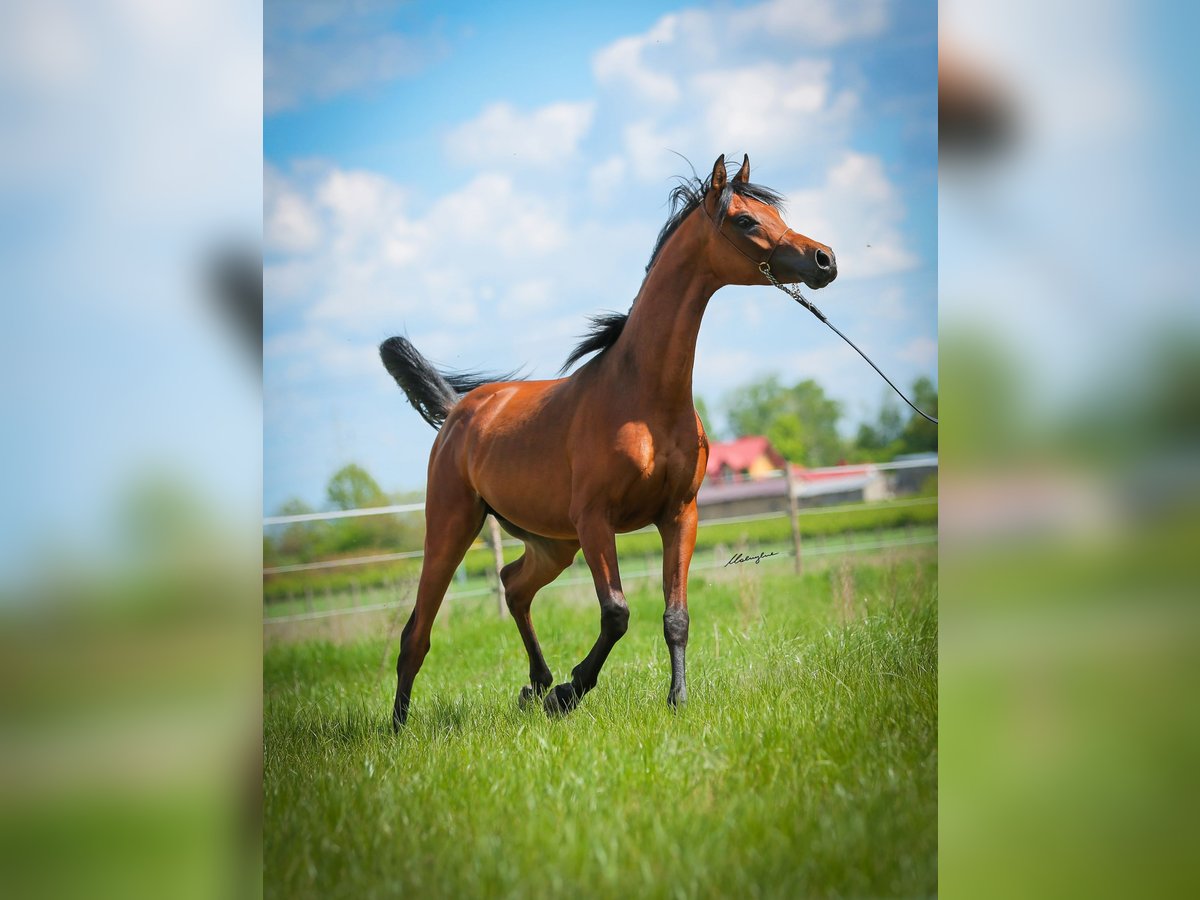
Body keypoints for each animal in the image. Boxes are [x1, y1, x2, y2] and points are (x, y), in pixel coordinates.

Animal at [380, 154, 836, 729]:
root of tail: (457, 413)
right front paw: (570, 692)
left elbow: (676, 616)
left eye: (774, 214)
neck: (643, 397)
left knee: (513, 584)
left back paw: (535, 684)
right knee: (416, 631)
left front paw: (675, 700)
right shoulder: (596, 519)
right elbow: (617, 612)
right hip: (452, 526)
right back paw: (403, 725)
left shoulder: (679, 515)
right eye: (746, 220)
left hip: (553, 542)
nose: (825, 260)